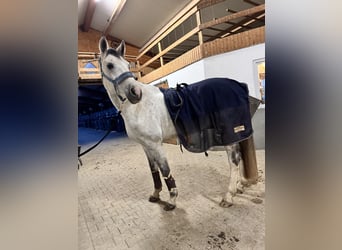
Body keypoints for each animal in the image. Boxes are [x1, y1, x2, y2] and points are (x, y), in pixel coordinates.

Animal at [97, 36, 256, 210]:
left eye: (127, 65)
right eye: (110, 65)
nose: (135, 93)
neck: (139, 107)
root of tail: (238, 85)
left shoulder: (155, 144)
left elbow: (165, 170)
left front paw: (172, 200)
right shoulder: (145, 146)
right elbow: (154, 171)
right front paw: (155, 194)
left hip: (229, 135)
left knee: (234, 162)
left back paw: (228, 196)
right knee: (238, 159)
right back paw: (238, 188)